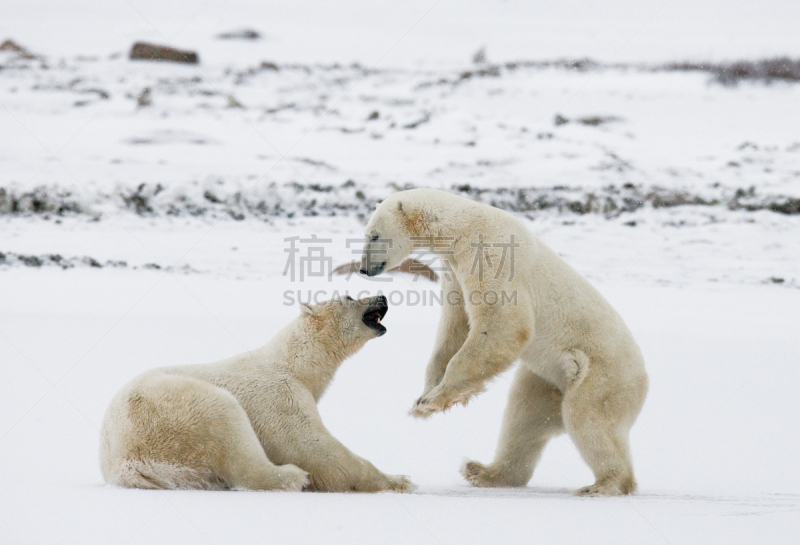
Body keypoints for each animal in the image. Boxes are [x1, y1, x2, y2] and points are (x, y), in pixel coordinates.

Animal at [98, 296, 412, 496]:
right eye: (349, 296)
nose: (382, 296)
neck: (295, 363)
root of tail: (123, 464)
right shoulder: (280, 395)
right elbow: (313, 447)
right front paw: (401, 479)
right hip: (173, 413)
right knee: (233, 434)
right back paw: (293, 476)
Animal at [362, 189, 648, 496]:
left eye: (374, 235)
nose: (364, 269)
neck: (464, 227)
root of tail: (644, 381)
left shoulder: (492, 257)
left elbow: (503, 325)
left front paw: (432, 401)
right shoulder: (454, 270)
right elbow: (455, 328)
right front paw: (423, 395)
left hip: (601, 377)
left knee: (588, 419)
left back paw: (603, 485)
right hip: (547, 380)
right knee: (524, 418)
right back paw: (483, 471)